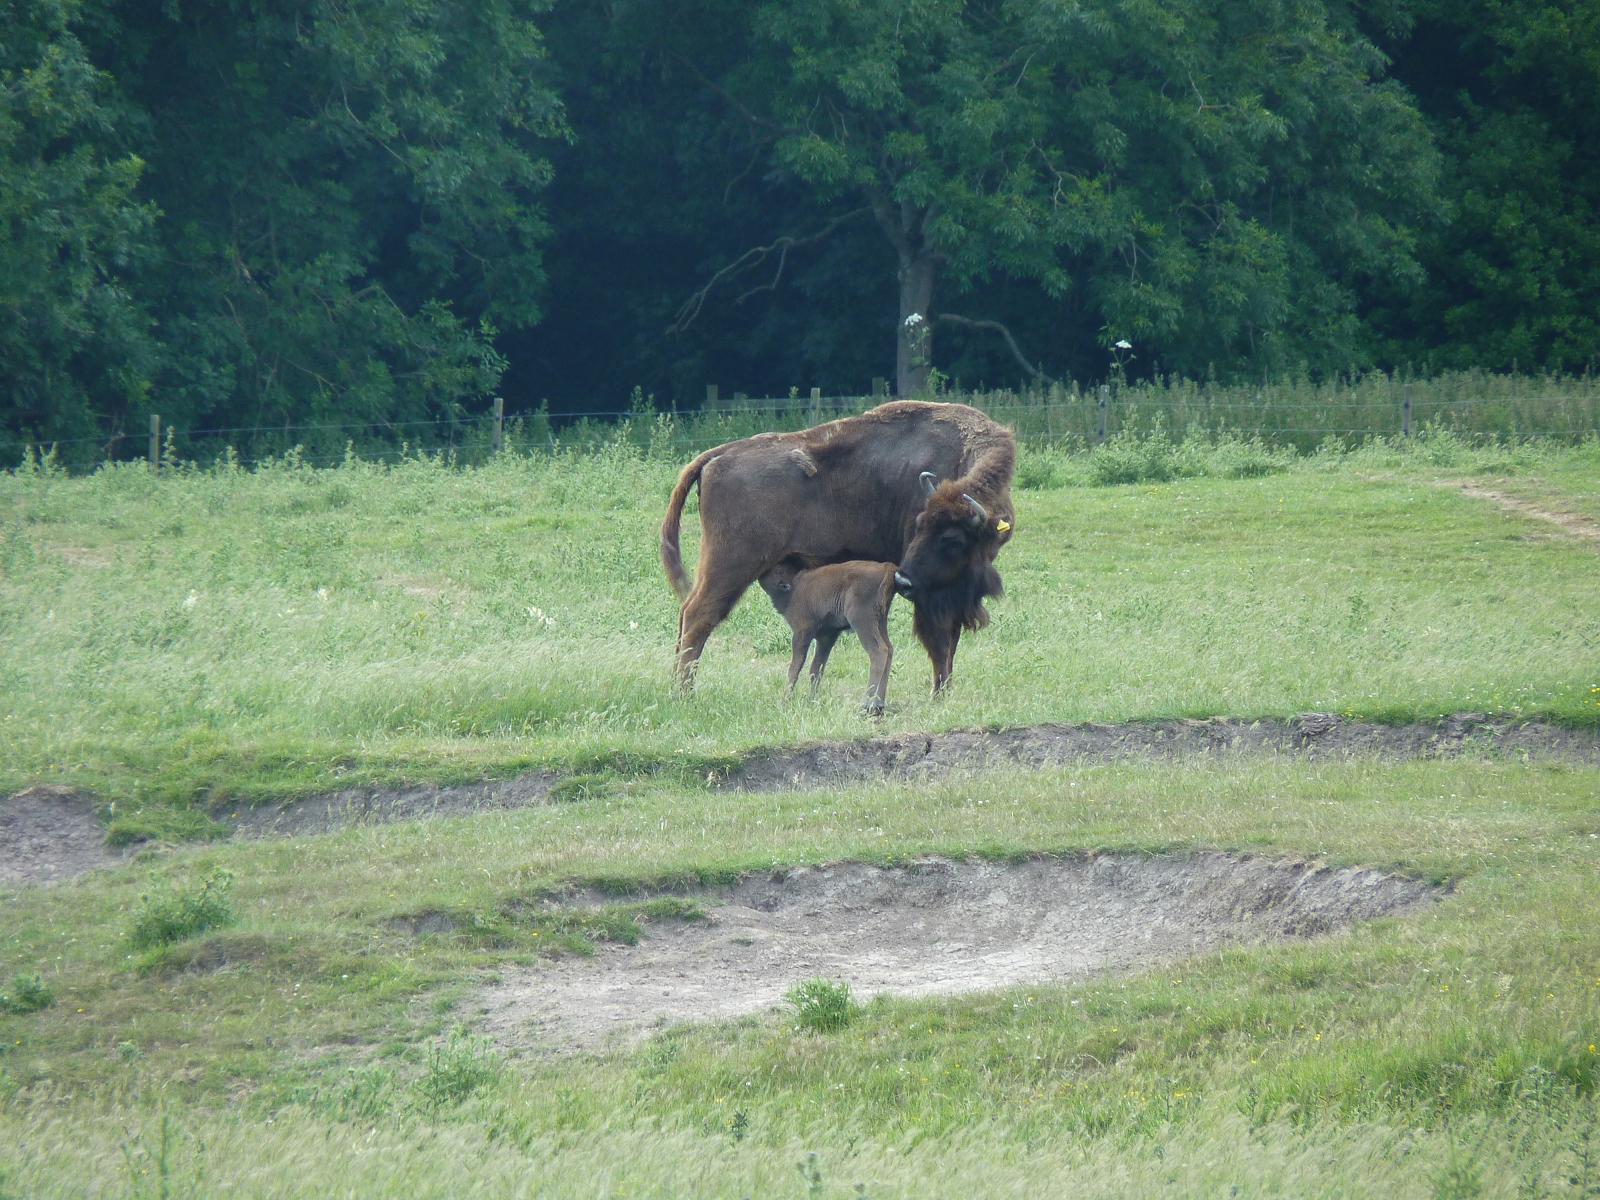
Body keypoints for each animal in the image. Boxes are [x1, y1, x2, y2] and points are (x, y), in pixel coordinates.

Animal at [660, 400, 1015, 691]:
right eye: (918, 526)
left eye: (951, 538)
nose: (904, 581)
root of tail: (718, 454)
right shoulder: (933, 595)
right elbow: (940, 643)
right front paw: (938, 695)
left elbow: (950, 641)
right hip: (732, 564)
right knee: (700, 615)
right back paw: (684, 693)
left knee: (687, 612)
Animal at [757, 559, 897, 714]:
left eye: (778, 570)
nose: (783, 585)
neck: (795, 585)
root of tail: (886, 568)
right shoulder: (826, 638)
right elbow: (816, 669)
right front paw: (812, 701)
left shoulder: (801, 632)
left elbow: (795, 668)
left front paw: (784, 702)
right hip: (880, 622)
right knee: (889, 649)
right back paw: (879, 706)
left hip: (862, 622)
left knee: (879, 651)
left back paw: (867, 707)